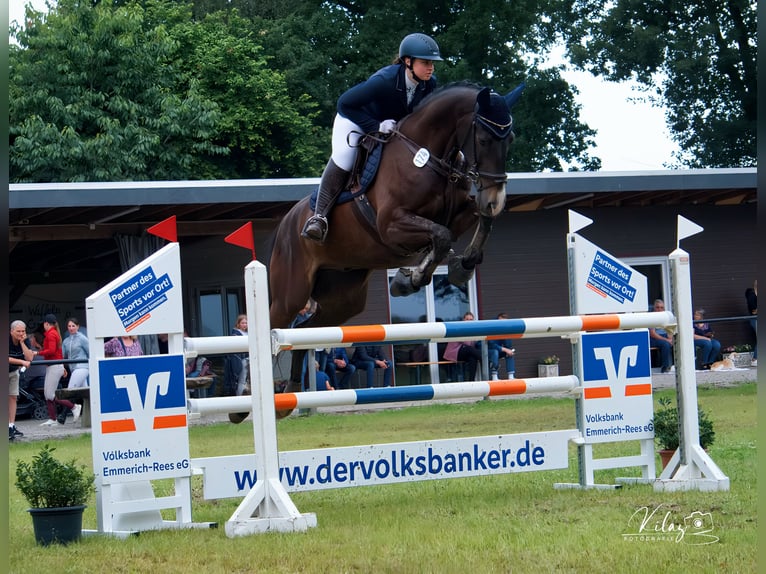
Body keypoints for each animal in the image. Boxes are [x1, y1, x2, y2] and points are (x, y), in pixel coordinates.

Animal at [264, 84, 520, 414]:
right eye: (484, 140)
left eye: (509, 140)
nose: (495, 199)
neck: (429, 156)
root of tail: (284, 226)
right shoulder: (391, 224)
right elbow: (442, 236)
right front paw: (410, 279)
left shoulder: (460, 209)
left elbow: (475, 223)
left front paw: (459, 267)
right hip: (290, 295)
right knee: (273, 328)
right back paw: (244, 406)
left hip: (343, 300)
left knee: (305, 332)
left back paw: (289, 395)